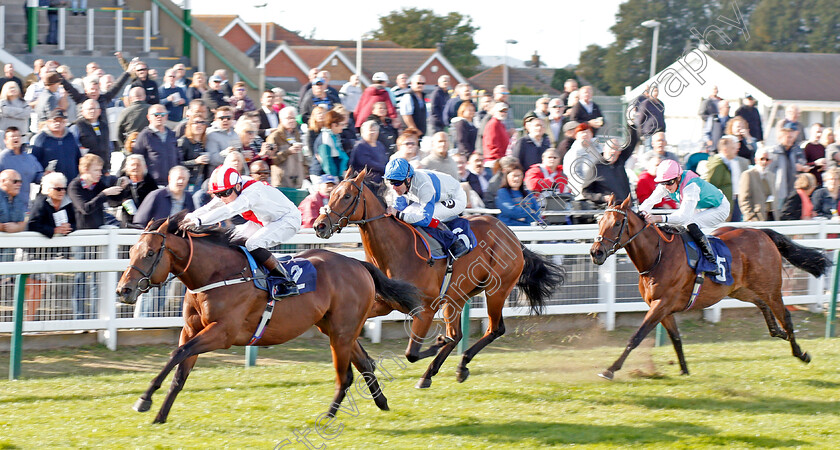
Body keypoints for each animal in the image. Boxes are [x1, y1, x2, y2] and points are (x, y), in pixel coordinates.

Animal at [115, 210, 424, 422]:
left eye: (151, 252)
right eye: (131, 251)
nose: (123, 290)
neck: (215, 275)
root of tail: (357, 263)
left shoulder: (222, 333)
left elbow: (177, 354)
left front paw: (144, 400)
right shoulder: (191, 330)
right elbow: (180, 371)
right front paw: (160, 415)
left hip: (341, 331)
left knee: (346, 374)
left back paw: (328, 416)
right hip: (336, 328)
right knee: (365, 363)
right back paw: (382, 402)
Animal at [310, 171, 564, 388]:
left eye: (347, 196)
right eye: (330, 194)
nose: (319, 225)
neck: (397, 249)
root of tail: (512, 236)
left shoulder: (425, 309)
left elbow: (411, 354)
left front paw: (437, 343)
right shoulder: (383, 303)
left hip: (496, 290)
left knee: (494, 329)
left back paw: (458, 364)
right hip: (456, 297)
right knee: (458, 334)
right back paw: (439, 372)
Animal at [592, 196, 832, 380]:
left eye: (616, 223)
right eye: (600, 221)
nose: (596, 252)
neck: (657, 256)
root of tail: (763, 233)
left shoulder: (662, 304)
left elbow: (637, 336)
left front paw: (610, 369)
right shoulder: (662, 307)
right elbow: (676, 339)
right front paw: (684, 370)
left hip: (771, 288)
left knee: (786, 317)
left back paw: (800, 353)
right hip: (740, 288)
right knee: (763, 305)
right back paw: (778, 332)